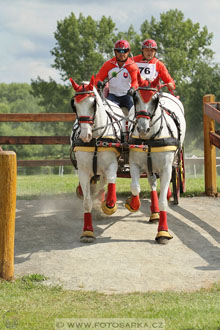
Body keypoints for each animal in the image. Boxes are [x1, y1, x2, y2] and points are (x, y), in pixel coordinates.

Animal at [69, 76, 124, 244]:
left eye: (94, 103)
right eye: (74, 105)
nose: (84, 135)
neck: (96, 139)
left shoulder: (111, 166)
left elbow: (110, 183)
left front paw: (108, 206)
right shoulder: (83, 171)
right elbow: (87, 202)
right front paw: (87, 232)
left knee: (103, 183)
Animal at [125, 86, 186, 244]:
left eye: (154, 100)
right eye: (135, 98)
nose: (142, 128)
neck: (150, 139)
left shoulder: (166, 169)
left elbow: (163, 200)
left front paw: (163, 232)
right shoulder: (134, 163)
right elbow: (135, 187)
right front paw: (133, 204)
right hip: (149, 166)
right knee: (152, 182)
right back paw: (154, 213)